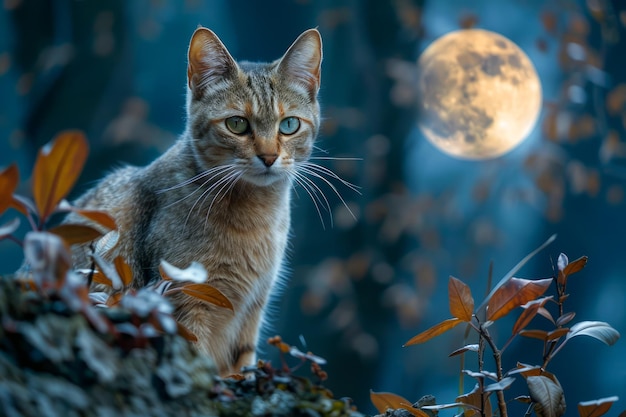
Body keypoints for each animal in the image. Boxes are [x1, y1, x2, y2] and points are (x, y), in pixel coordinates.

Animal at [68, 27, 322, 376]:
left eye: (289, 125)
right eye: (237, 124)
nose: (269, 157)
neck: (256, 215)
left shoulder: (251, 311)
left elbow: (240, 365)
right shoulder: (184, 300)